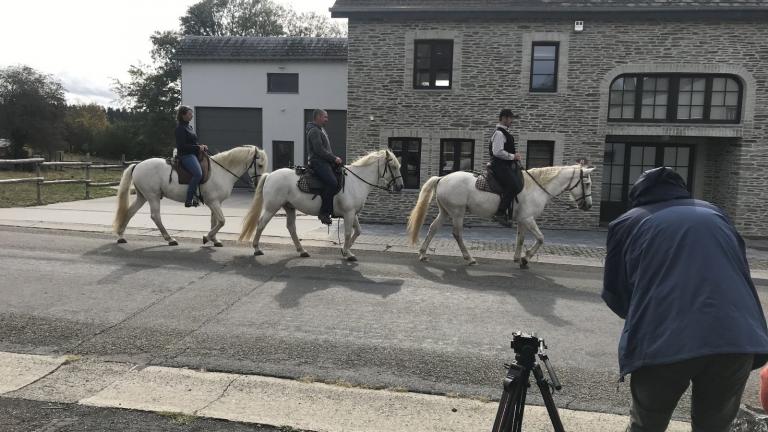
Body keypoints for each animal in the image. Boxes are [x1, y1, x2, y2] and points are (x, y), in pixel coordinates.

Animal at [112, 145, 268, 246]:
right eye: (260, 165)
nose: (258, 184)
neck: (221, 171)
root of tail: (137, 165)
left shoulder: (215, 202)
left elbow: (214, 221)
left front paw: (214, 240)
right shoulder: (213, 202)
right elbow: (222, 221)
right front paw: (207, 237)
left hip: (142, 196)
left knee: (130, 212)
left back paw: (121, 236)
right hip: (153, 196)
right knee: (155, 216)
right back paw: (170, 239)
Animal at [242, 148, 404, 262]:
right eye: (393, 166)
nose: (401, 186)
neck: (356, 181)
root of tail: (270, 175)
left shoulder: (353, 213)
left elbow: (358, 231)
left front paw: (345, 251)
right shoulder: (349, 213)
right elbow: (347, 233)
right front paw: (348, 253)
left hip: (289, 207)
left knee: (291, 228)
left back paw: (302, 251)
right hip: (272, 207)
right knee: (261, 224)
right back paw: (257, 249)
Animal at [408, 164, 592, 268]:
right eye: (588, 183)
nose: (588, 205)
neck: (536, 187)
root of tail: (442, 178)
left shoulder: (523, 220)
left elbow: (521, 239)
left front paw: (518, 258)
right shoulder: (528, 219)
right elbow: (540, 238)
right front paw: (526, 258)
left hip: (446, 212)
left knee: (433, 229)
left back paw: (423, 254)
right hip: (457, 212)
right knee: (457, 234)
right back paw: (469, 258)